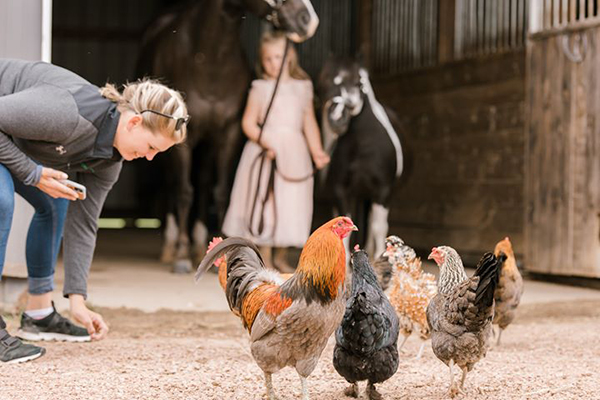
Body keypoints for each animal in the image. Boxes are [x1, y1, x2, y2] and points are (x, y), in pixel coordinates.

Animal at [139, 0, 322, 272]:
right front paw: (181, 256)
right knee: (172, 182)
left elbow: (221, 192)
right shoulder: (183, 138)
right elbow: (184, 192)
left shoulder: (229, 134)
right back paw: (172, 247)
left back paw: (198, 245)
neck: (211, 59)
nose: (307, 20)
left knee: (204, 182)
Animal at [316, 57, 410, 260]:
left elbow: (378, 226)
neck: (364, 143)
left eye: (358, 83)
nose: (337, 117)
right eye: (324, 84)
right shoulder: (341, 189)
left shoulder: (383, 190)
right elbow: (345, 222)